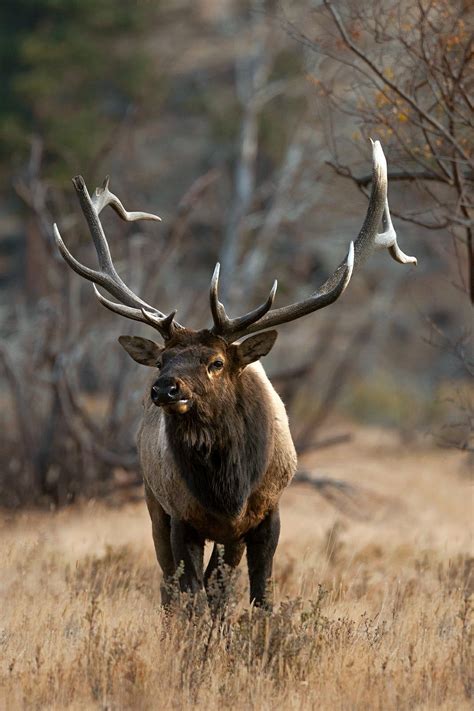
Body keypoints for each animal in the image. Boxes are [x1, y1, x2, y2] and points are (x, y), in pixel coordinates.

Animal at [52, 142, 414, 608]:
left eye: (216, 363)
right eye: (162, 360)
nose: (165, 389)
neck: (228, 492)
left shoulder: (266, 515)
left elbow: (258, 597)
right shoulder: (181, 517)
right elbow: (192, 597)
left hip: (225, 534)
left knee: (217, 588)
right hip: (153, 500)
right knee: (170, 586)